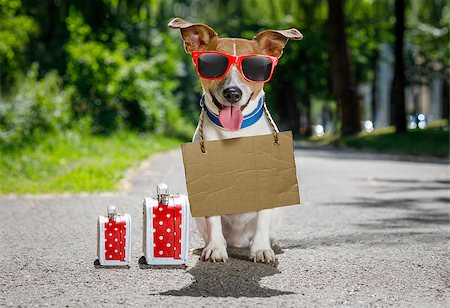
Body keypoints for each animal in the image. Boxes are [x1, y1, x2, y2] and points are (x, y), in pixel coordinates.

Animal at [169, 17, 302, 262]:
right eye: (212, 65)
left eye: (255, 68)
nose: (233, 93)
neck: (235, 133)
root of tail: (238, 241)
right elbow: (213, 221)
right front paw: (215, 249)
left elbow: (262, 221)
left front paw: (261, 249)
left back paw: (272, 242)